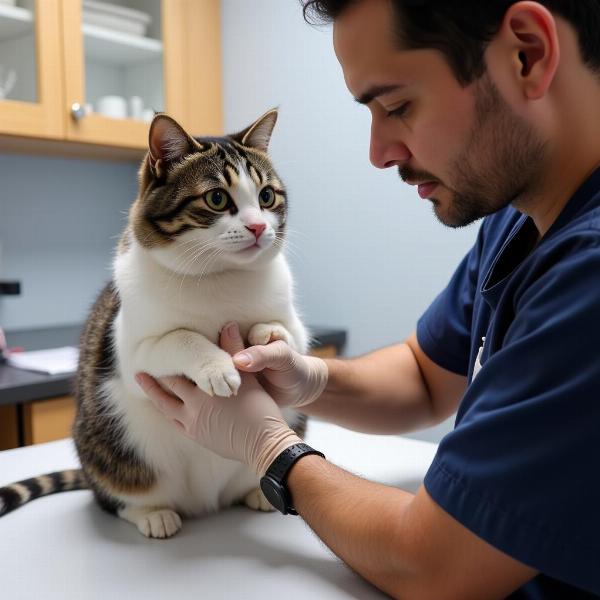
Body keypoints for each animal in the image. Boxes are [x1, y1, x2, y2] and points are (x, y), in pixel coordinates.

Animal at [0, 109, 308, 540]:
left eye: (266, 196)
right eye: (217, 198)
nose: (259, 228)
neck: (221, 277)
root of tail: (207, 502)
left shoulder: (295, 323)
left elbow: (286, 332)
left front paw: (268, 337)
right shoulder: (132, 354)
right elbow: (181, 337)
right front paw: (216, 366)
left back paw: (256, 493)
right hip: (108, 453)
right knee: (115, 497)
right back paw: (152, 514)